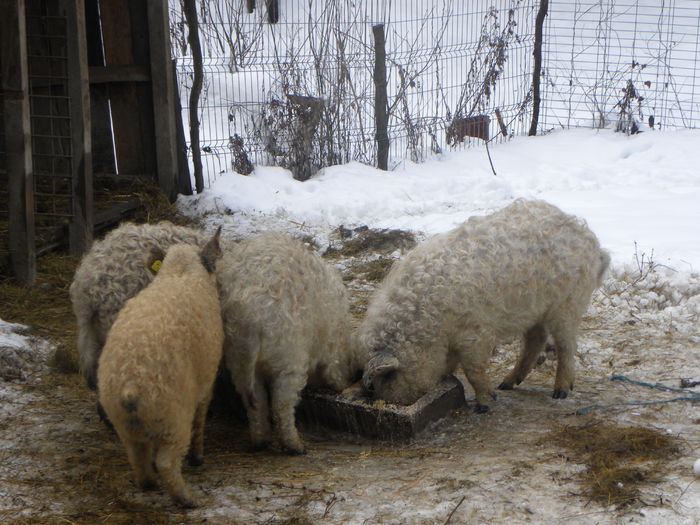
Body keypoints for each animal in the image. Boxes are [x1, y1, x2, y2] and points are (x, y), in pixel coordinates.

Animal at [97, 227, 223, 506]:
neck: (179, 272)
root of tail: (130, 384)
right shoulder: (207, 380)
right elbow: (201, 417)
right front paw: (198, 459)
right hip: (173, 416)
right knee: (167, 460)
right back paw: (188, 500)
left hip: (121, 419)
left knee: (137, 454)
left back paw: (149, 483)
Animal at [217, 231, 360, 452]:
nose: (352, 378)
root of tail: (249, 316)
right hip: (289, 356)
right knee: (282, 403)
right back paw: (296, 447)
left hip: (237, 358)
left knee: (254, 401)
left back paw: (261, 442)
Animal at [360, 199, 608, 412]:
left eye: (387, 378)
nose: (391, 402)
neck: (431, 323)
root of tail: (591, 240)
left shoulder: (476, 331)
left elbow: (474, 369)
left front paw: (484, 405)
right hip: (535, 308)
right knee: (535, 339)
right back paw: (507, 384)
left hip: (567, 303)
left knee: (566, 345)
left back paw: (560, 392)